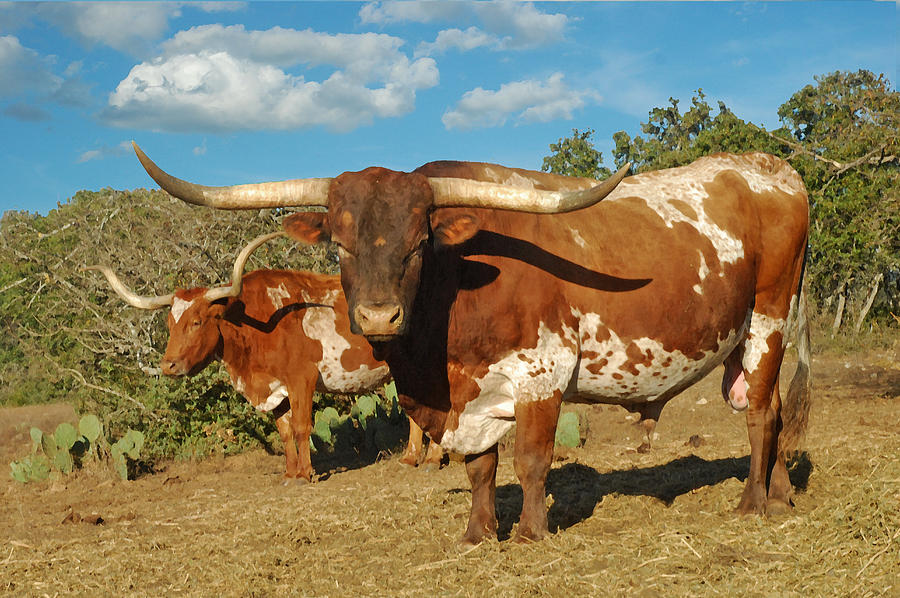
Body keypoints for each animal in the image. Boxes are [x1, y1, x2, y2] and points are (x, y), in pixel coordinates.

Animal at [135, 143, 816, 548]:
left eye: (419, 242)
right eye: (339, 246)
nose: (378, 316)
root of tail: (771, 167)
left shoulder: (543, 371)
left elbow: (532, 460)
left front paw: (532, 536)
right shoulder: (469, 393)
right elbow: (479, 466)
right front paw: (478, 534)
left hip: (767, 319)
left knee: (759, 415)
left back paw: (752, 504)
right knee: (778, 411)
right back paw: (782, 496)